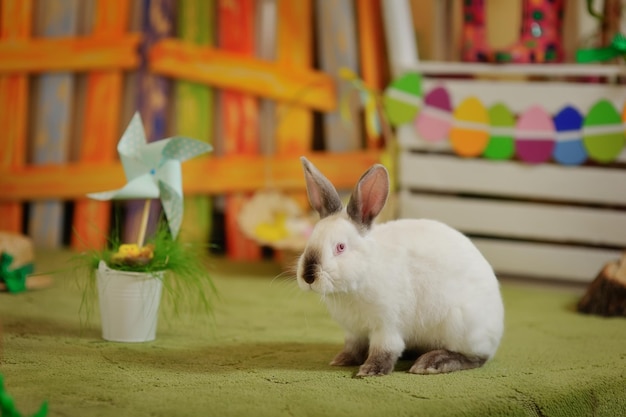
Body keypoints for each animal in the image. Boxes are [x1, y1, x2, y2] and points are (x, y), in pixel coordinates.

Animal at [294, 157, 502, 376]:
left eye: (340, 247)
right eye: (310, 240)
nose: (308, 276)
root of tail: (497, 329)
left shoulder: (387, 326)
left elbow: (384, 350)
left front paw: (370, 370)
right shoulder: (354, 332)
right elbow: (353, 348)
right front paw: (342, 360)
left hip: (461, 327)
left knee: (476, 358)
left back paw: (431, 363)